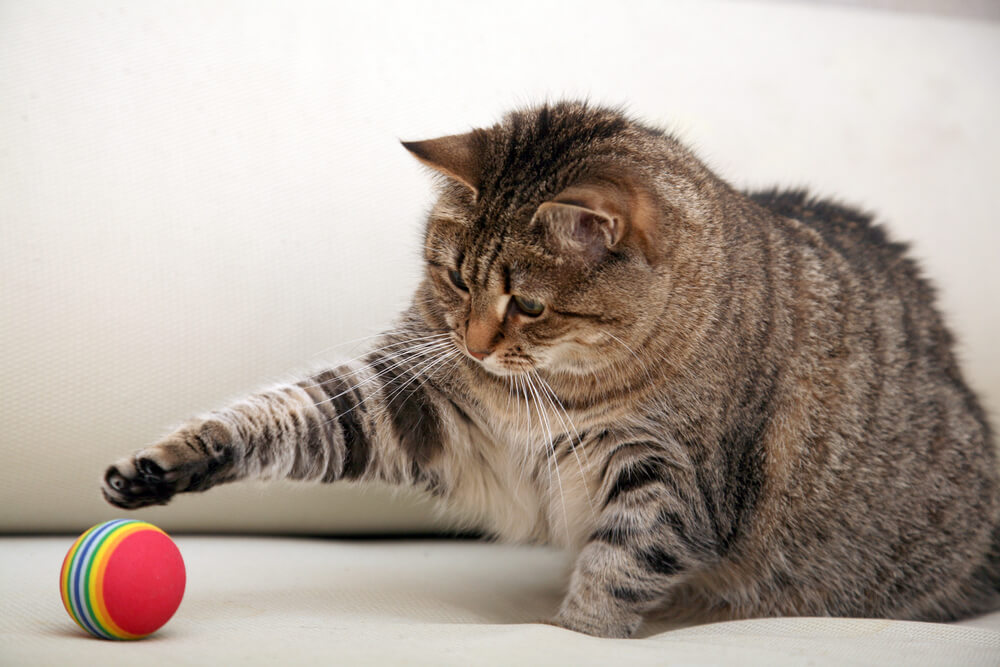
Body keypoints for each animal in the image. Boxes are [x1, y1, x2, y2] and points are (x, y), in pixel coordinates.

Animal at [103, 100, 1000, 636]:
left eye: (529, 304)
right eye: (454, 275)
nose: (472, 342)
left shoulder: (667, 479)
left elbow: (617, 568)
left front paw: (574, 633)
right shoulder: (420, 399)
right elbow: (285, 414)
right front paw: (169, 461)